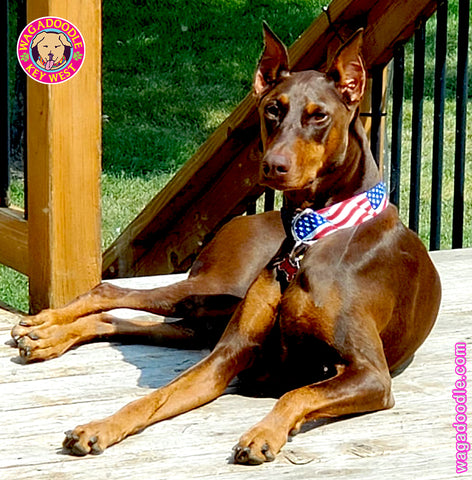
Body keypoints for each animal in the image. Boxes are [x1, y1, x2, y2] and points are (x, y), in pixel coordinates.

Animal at [11, 26, 442, 464]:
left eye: (319, 115)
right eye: (272, 109)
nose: (273, 166)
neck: (308, 237)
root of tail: (246, 219)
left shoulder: (370, 373)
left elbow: (296, 392)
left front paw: (263, 433)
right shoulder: (228, 354)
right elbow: (154, 397)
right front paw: (100, 426)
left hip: (207, 315)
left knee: (125, 318)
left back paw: (46, 338)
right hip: (211, 292)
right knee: (110, 290)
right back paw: (45, 327)